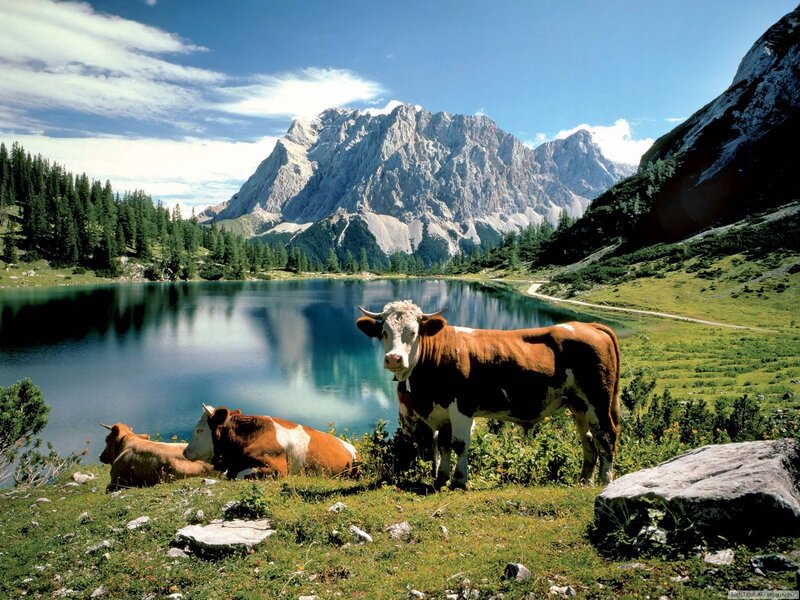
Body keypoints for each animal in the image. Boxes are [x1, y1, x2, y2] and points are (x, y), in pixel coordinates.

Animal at [356, 300, 621, 488]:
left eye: (413, 332)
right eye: (384, 333)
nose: (394, 359)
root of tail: (589, 326)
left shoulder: (462, 406)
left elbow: (460, 443)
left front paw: (459, 479)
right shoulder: (441, 411)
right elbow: (443, 444)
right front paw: (441, 477)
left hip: (598, 399)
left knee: (606, 435)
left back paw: (604, 480)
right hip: (578, 404)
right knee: (589, 438)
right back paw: (584, 479)